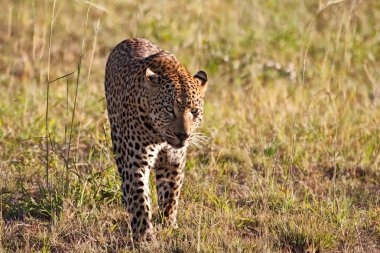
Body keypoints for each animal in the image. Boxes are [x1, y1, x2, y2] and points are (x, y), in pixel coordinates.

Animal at [104, 37, 208, 241]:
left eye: (194, 111)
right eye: (169, 110)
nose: (183, 135)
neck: (160, 138)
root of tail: (131, 38)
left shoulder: (173, 162)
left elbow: (170, 196)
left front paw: (169, 225)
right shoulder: (135, 163)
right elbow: (139, 198)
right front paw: (144, 235)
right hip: (118, 142)